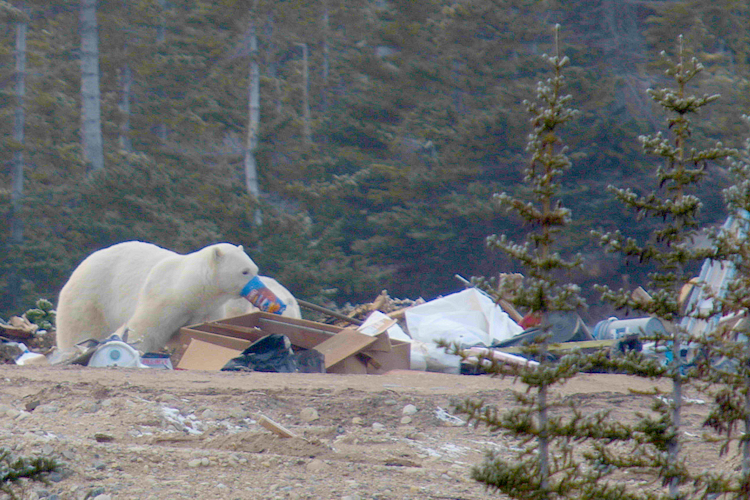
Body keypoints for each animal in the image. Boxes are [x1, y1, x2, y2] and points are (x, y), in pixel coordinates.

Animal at [55, 241, 259, 353]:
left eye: (255, 269)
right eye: (244, 271)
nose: (259, 287)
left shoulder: (207, 309)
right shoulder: (163, 299)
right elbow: (144, 328)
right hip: (91, 297)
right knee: (81, 328)